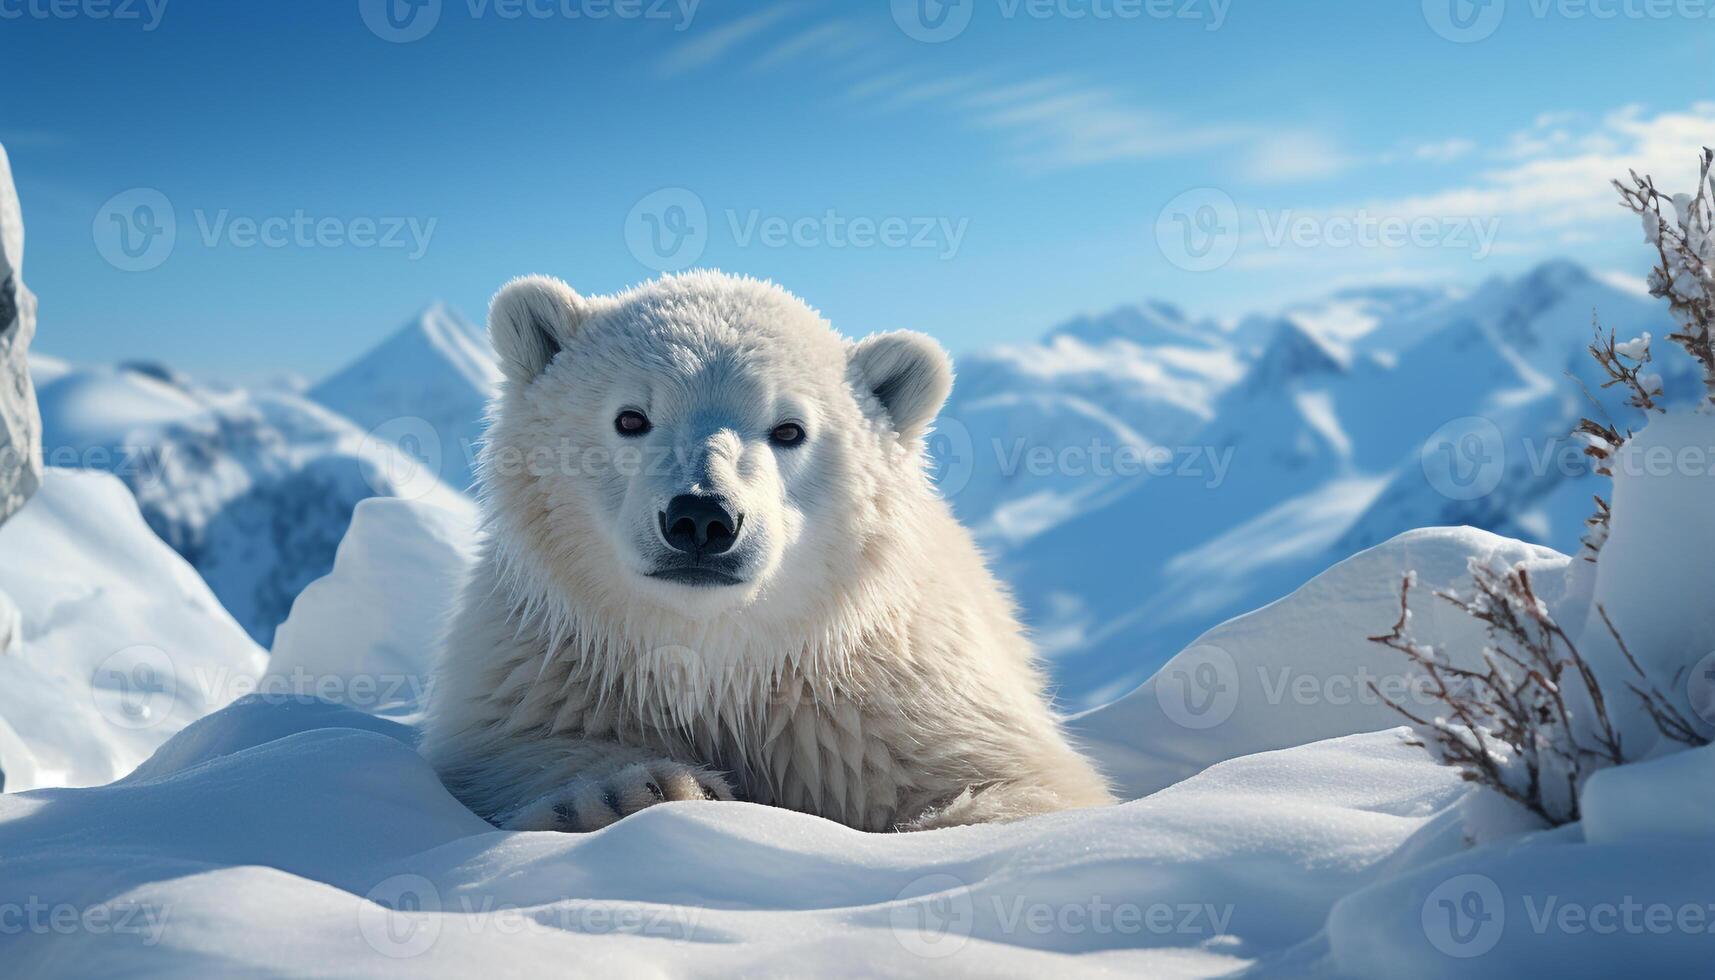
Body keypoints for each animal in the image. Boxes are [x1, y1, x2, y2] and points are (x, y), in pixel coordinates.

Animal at [416, 272, 1111, 830]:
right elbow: (522, 749)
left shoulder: (892, 705)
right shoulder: (550, 667)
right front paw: (640, 792)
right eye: (630, 417)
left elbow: (1019, 787)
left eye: (789, 429)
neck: (723, 664)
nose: (701, 518)